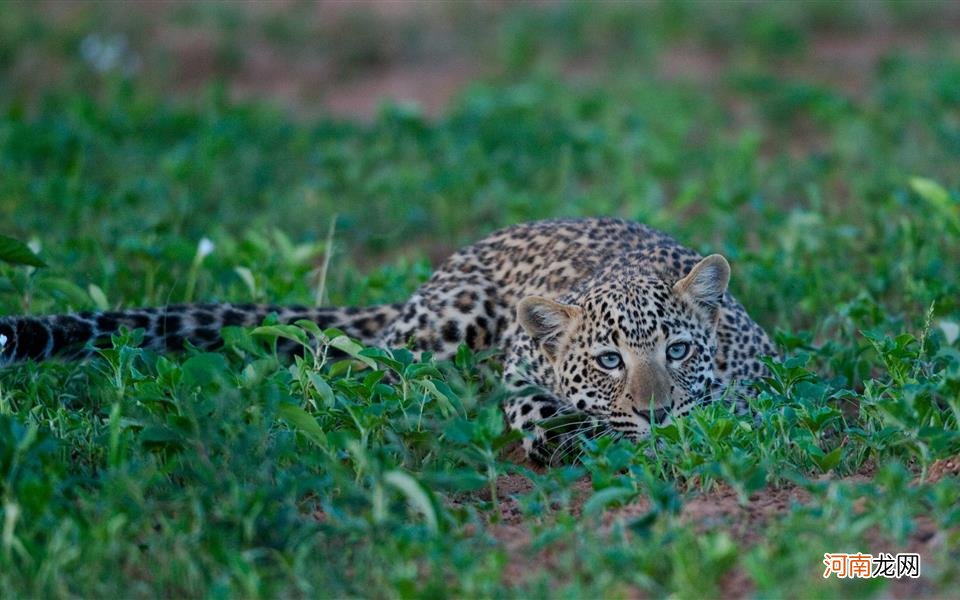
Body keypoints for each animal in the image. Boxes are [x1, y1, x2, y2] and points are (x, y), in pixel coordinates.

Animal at [0, 218, 776, 462]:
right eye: (609, 361)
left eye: (678, 351)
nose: (655, 413)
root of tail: (427, 284)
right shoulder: (520, 369)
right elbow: (530, 404)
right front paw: (573, 434)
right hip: (446, 326)